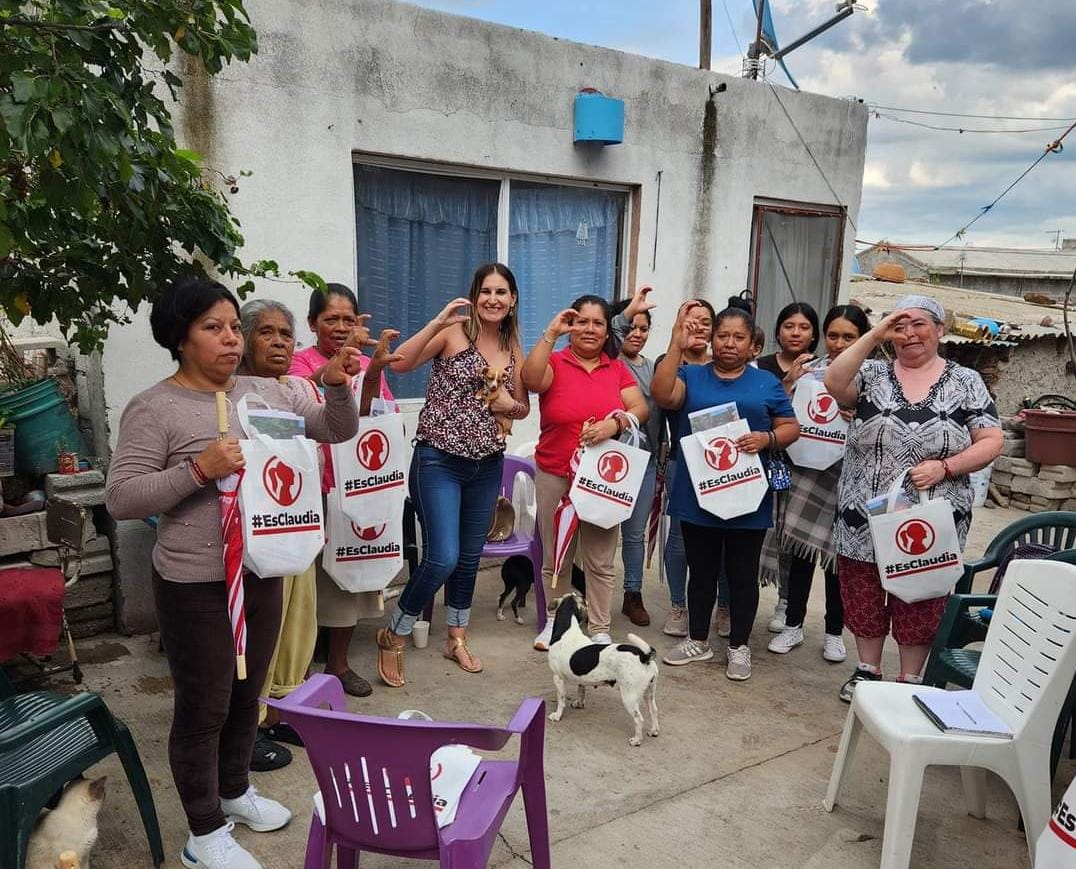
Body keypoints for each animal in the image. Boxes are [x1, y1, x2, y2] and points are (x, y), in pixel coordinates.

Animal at [546, 589, 654, 748]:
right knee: (654, 711)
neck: (568, 630)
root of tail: (644, 657)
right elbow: (581, 690)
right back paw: (654, 731)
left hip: (629, 696)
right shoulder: (582, 678)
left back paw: (636, 740)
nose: (584, 597)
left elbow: (561, 699)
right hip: (649, 693)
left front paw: (557, 716)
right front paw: (579, 704)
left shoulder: (557, 677)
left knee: (638, 719)